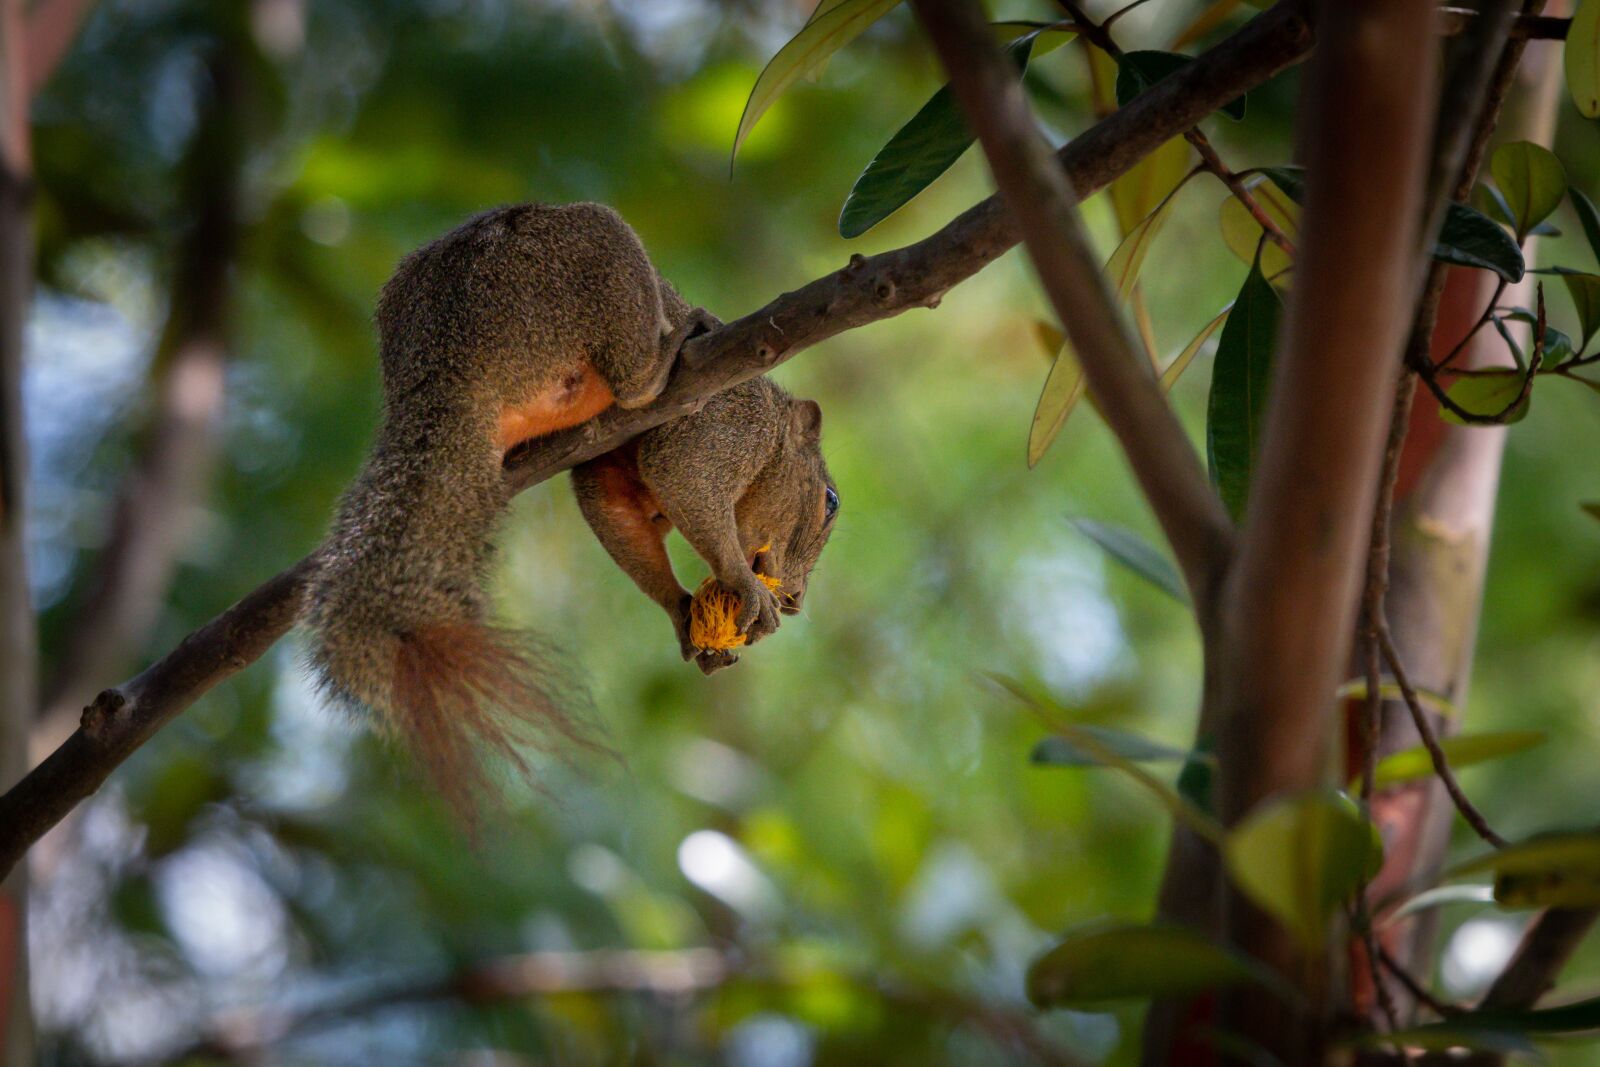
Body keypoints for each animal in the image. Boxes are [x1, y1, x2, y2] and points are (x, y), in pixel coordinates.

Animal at [304, 202, 838, 814]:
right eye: (830, 502)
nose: (795, 601)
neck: (770, 430)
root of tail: (442, 357)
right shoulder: (729, 421)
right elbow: (682, 476)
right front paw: (745, 587)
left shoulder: (610, 466)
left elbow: (618, 510)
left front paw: (681, 611)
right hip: (591, 270)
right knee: (632, 385)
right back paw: (672, 344)